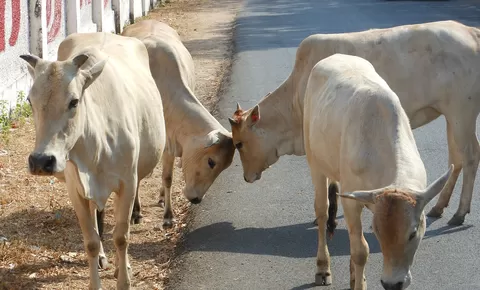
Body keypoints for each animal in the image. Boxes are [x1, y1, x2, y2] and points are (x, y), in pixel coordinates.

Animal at [20, 30, 166, 288]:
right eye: (30, 101)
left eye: (74, 101)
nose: (41, 161)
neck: (96, 146)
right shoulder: (75, 189)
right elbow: (91, 241)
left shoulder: (128, 184)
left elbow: (121, 236)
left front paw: (124, 279)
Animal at [121, 19, 235, 229]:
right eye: (211, 161)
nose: (196, 199)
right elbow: (138, 175)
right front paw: (136, 212)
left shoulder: (169, 144)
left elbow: (167, 177)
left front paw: (168, 215)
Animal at [229, 19, 480, 227]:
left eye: (239, 143)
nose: (246, 177)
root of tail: (470, 31)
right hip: (451, 116)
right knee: (456, 159)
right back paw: (438, 207)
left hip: (462, 113)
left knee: (469, 156)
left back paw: (459, 213)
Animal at [229, 53, 454, 288]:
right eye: (378, 232)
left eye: (413, 233)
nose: (392, 284)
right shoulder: (351, 201)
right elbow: (360, 251)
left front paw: (358, 278)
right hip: (316, 163)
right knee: (322, 212)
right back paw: (322, 268)